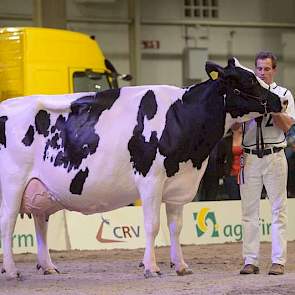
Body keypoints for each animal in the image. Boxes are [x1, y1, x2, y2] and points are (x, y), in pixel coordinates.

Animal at [0, 57, 286, 280]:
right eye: (248, 81)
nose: (281, 101)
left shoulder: (179, 185)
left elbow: (176, 227)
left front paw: (181, 266)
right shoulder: (151, 180)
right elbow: (152, 225)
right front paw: (151, 267)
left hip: (39, 190)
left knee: (40, 223)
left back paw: (47, 266)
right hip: (12, 185)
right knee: (7, 223)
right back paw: (12, 271)